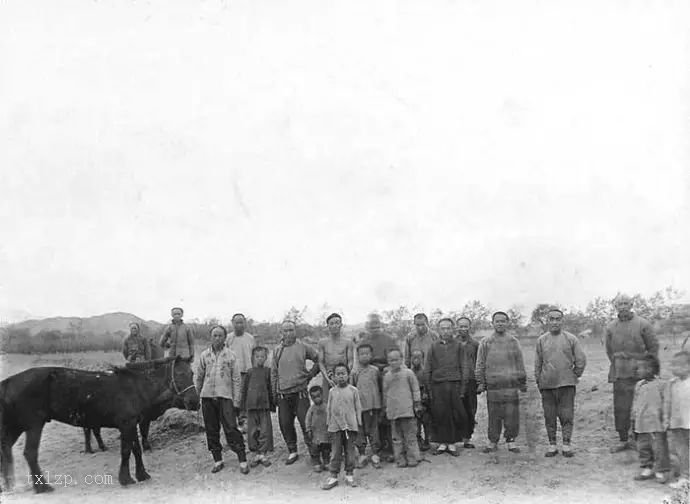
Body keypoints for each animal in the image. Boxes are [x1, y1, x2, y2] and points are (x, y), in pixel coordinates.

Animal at [0, 354, 199, 492]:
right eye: (180, 373)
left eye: (192, 373)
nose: (195, 402)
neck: (135, 386)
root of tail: (9, 382)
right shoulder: (126, 424)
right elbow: (126, 451)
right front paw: (125, 478)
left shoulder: (132, 424)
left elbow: (136, 449)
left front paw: (142, 474)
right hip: (33, 425)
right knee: (29, 453)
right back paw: (42, 486)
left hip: (15, 427)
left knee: (6, 449)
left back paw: (8, 485)